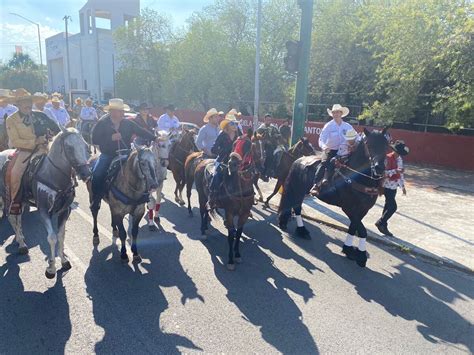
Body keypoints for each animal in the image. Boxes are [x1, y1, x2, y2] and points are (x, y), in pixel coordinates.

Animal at [0, 129, 90, 280]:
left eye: (86, 146)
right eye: (70, 148)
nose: (86, 173)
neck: (53, 176)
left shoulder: (64, 211)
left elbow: (60, 236)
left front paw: (64, 261)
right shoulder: (43, 211)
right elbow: (52, 237)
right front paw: (51, 268)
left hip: (21, 200)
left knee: (18, 219)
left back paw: (20, 239)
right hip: (9, 198)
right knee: (12, 218)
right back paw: (22, 245)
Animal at [276, 128, 386, 268]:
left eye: (386, 145)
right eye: (369, 144)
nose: (379, 168)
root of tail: (299, 159)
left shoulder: (362, 210)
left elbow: (353, 228)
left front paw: (348, 249)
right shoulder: (348, 208)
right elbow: (362, 231)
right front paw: (361, 256)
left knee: (296, 207)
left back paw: (301, 230)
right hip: (297, 189)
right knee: (296, 207)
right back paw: (298, 228)